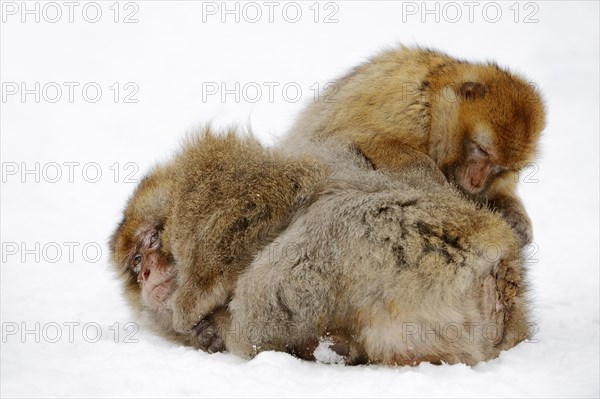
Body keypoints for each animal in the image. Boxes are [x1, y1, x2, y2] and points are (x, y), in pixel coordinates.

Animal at [284, 46, 548, 247]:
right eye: (481, 150)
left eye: (500, 169)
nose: (476, 182)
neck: (433, 96)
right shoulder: (407, 106)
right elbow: (363, 138)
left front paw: (517, 220)